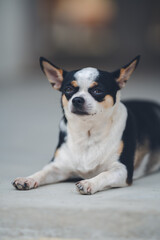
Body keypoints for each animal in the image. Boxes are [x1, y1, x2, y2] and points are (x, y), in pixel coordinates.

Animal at [12, 56, 160, 195]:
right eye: (68, 89)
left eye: (98, 91)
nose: (77, 99)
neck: (88, 134)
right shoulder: (57, 167)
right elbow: (42, 172)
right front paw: (28, 179)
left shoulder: (122, 169)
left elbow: (103, 174)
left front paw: (89, 182)